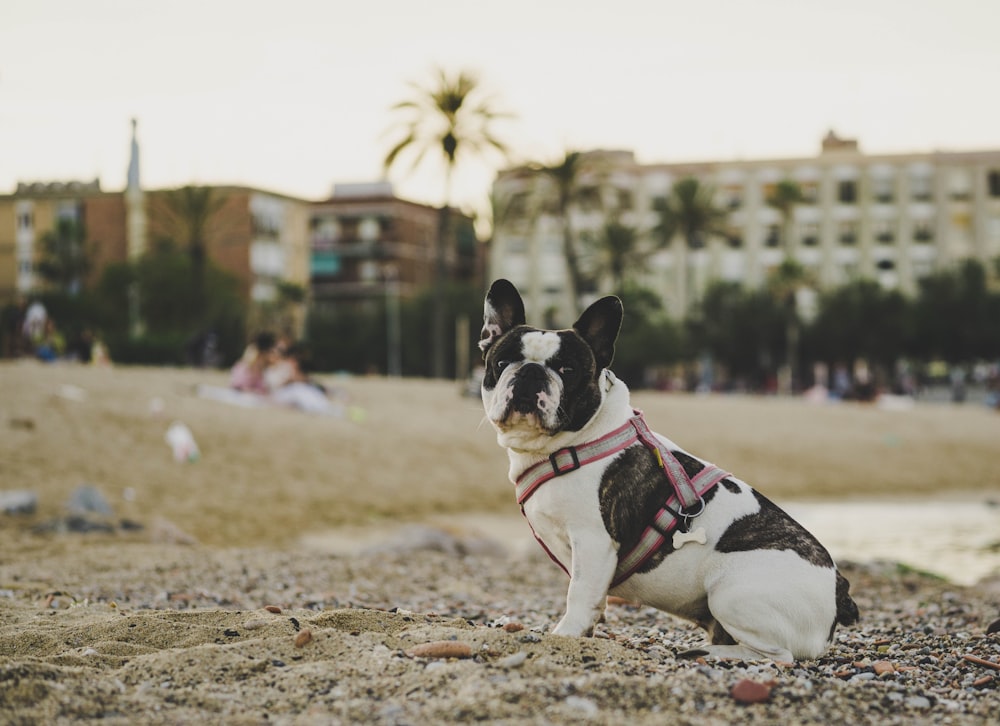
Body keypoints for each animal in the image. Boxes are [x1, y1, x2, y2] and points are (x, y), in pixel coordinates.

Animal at [478, 280, 860, 664]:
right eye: (502, 362)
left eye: (567, 370)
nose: (530, 371)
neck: (571, 442)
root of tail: (838, 591)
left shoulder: (592, 541)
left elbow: (579, 593)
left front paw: (566, 635)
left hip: (732, 593)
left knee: (777, 655)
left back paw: (710, 651)